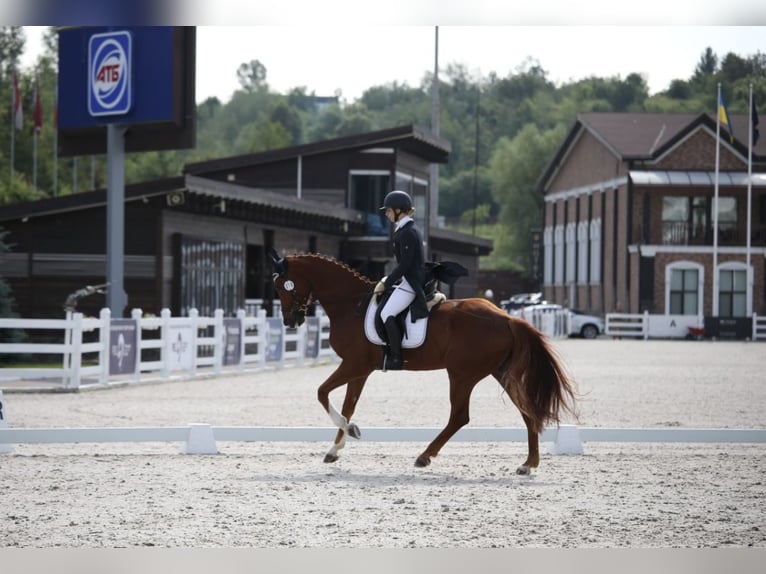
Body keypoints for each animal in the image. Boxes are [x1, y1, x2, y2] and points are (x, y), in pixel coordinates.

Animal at [270, 252, 576, 476]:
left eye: (283, 285)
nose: (290, 320)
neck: (350, 306)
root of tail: (507, 317)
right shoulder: (359, 370)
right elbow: (348, 405)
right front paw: (336, 448)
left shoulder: (354, 365)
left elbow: (322, 393)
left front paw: (350, 431)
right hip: (500, 373)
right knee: (527, 410)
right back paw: (528, 464)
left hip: (462, 374)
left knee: (460, 416)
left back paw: (424, 456)